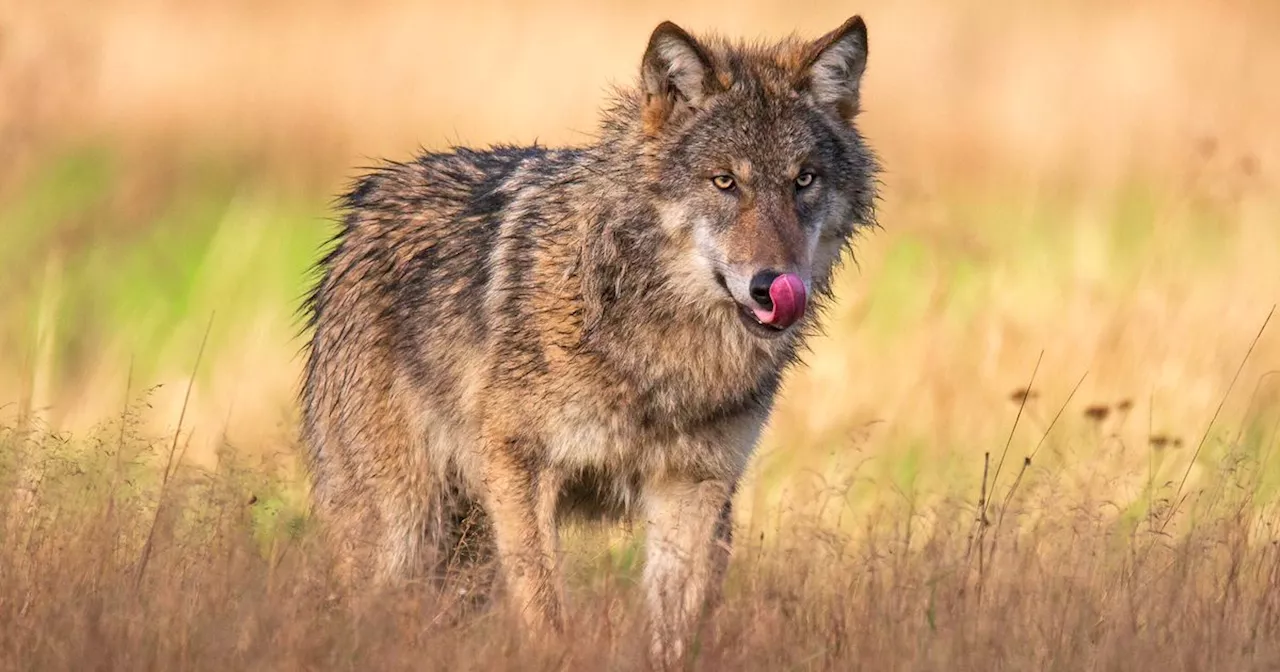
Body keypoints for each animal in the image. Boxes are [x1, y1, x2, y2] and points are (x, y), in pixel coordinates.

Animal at [300, 13, 880, 660]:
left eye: (804, 180)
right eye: (725, 181)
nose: (774, 286)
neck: (662, 345)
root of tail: (364, 205)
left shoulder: (693, 490)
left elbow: (674, 632)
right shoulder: (521, 468)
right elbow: (545, 611)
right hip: (402, 530)